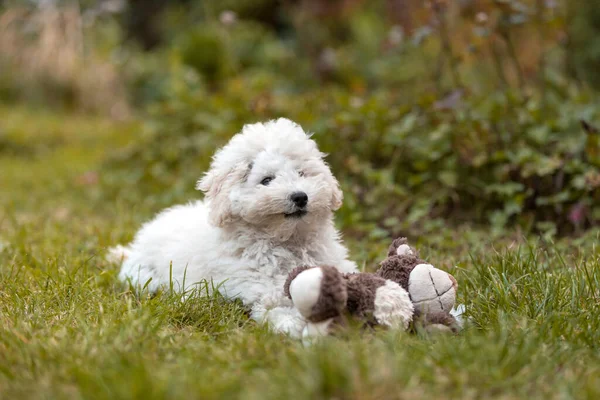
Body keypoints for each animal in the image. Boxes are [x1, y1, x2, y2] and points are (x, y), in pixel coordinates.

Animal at [112, 117, 356, 336]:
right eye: (267, 180)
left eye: (302, 173)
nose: (300, 197)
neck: (289, 241)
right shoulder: (261, 290)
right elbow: (278, 308)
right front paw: (297, 327)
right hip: (141, 273)